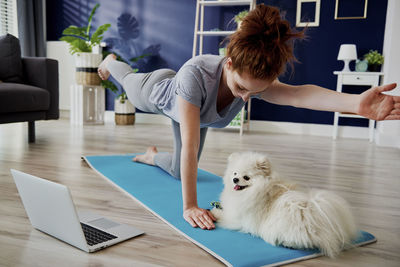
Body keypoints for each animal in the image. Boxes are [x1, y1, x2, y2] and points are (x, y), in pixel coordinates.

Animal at [211, 152, 358, 258]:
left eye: (246, 177)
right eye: (234, 173)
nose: (235, 179)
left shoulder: (238, 218)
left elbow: (224, 214)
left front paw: (214, 212)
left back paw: (289, 244)